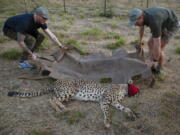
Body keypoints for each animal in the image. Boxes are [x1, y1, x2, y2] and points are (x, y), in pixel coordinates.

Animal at [7, 78, 139, 127]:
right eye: (136, 89)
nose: (138, 93)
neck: (123, 88)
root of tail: (55, 81)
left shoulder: (114, 102)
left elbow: (126, 108)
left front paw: (132, 114)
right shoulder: (105, 100)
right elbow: (107, 111)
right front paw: (107, 122)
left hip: (68, 95)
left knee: (55, 99)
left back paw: (63, 108)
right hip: (71, 90)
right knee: (51, 99)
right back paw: (59, 110)